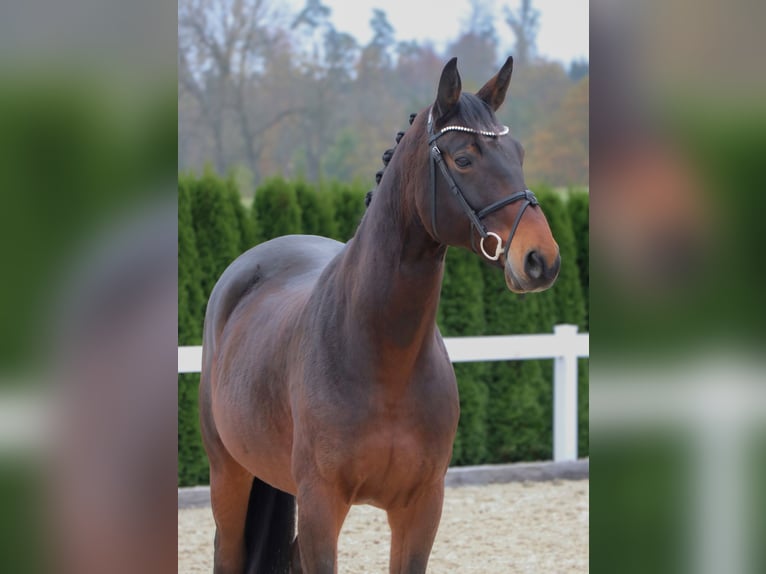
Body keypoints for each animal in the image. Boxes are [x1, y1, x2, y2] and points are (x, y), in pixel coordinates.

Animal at [201, 55, 560, 574]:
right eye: (464, 157)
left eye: (519, 151)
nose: (540, 259)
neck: (382, 356)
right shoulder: (321, 504)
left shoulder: (421, 508)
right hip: (228, 474)